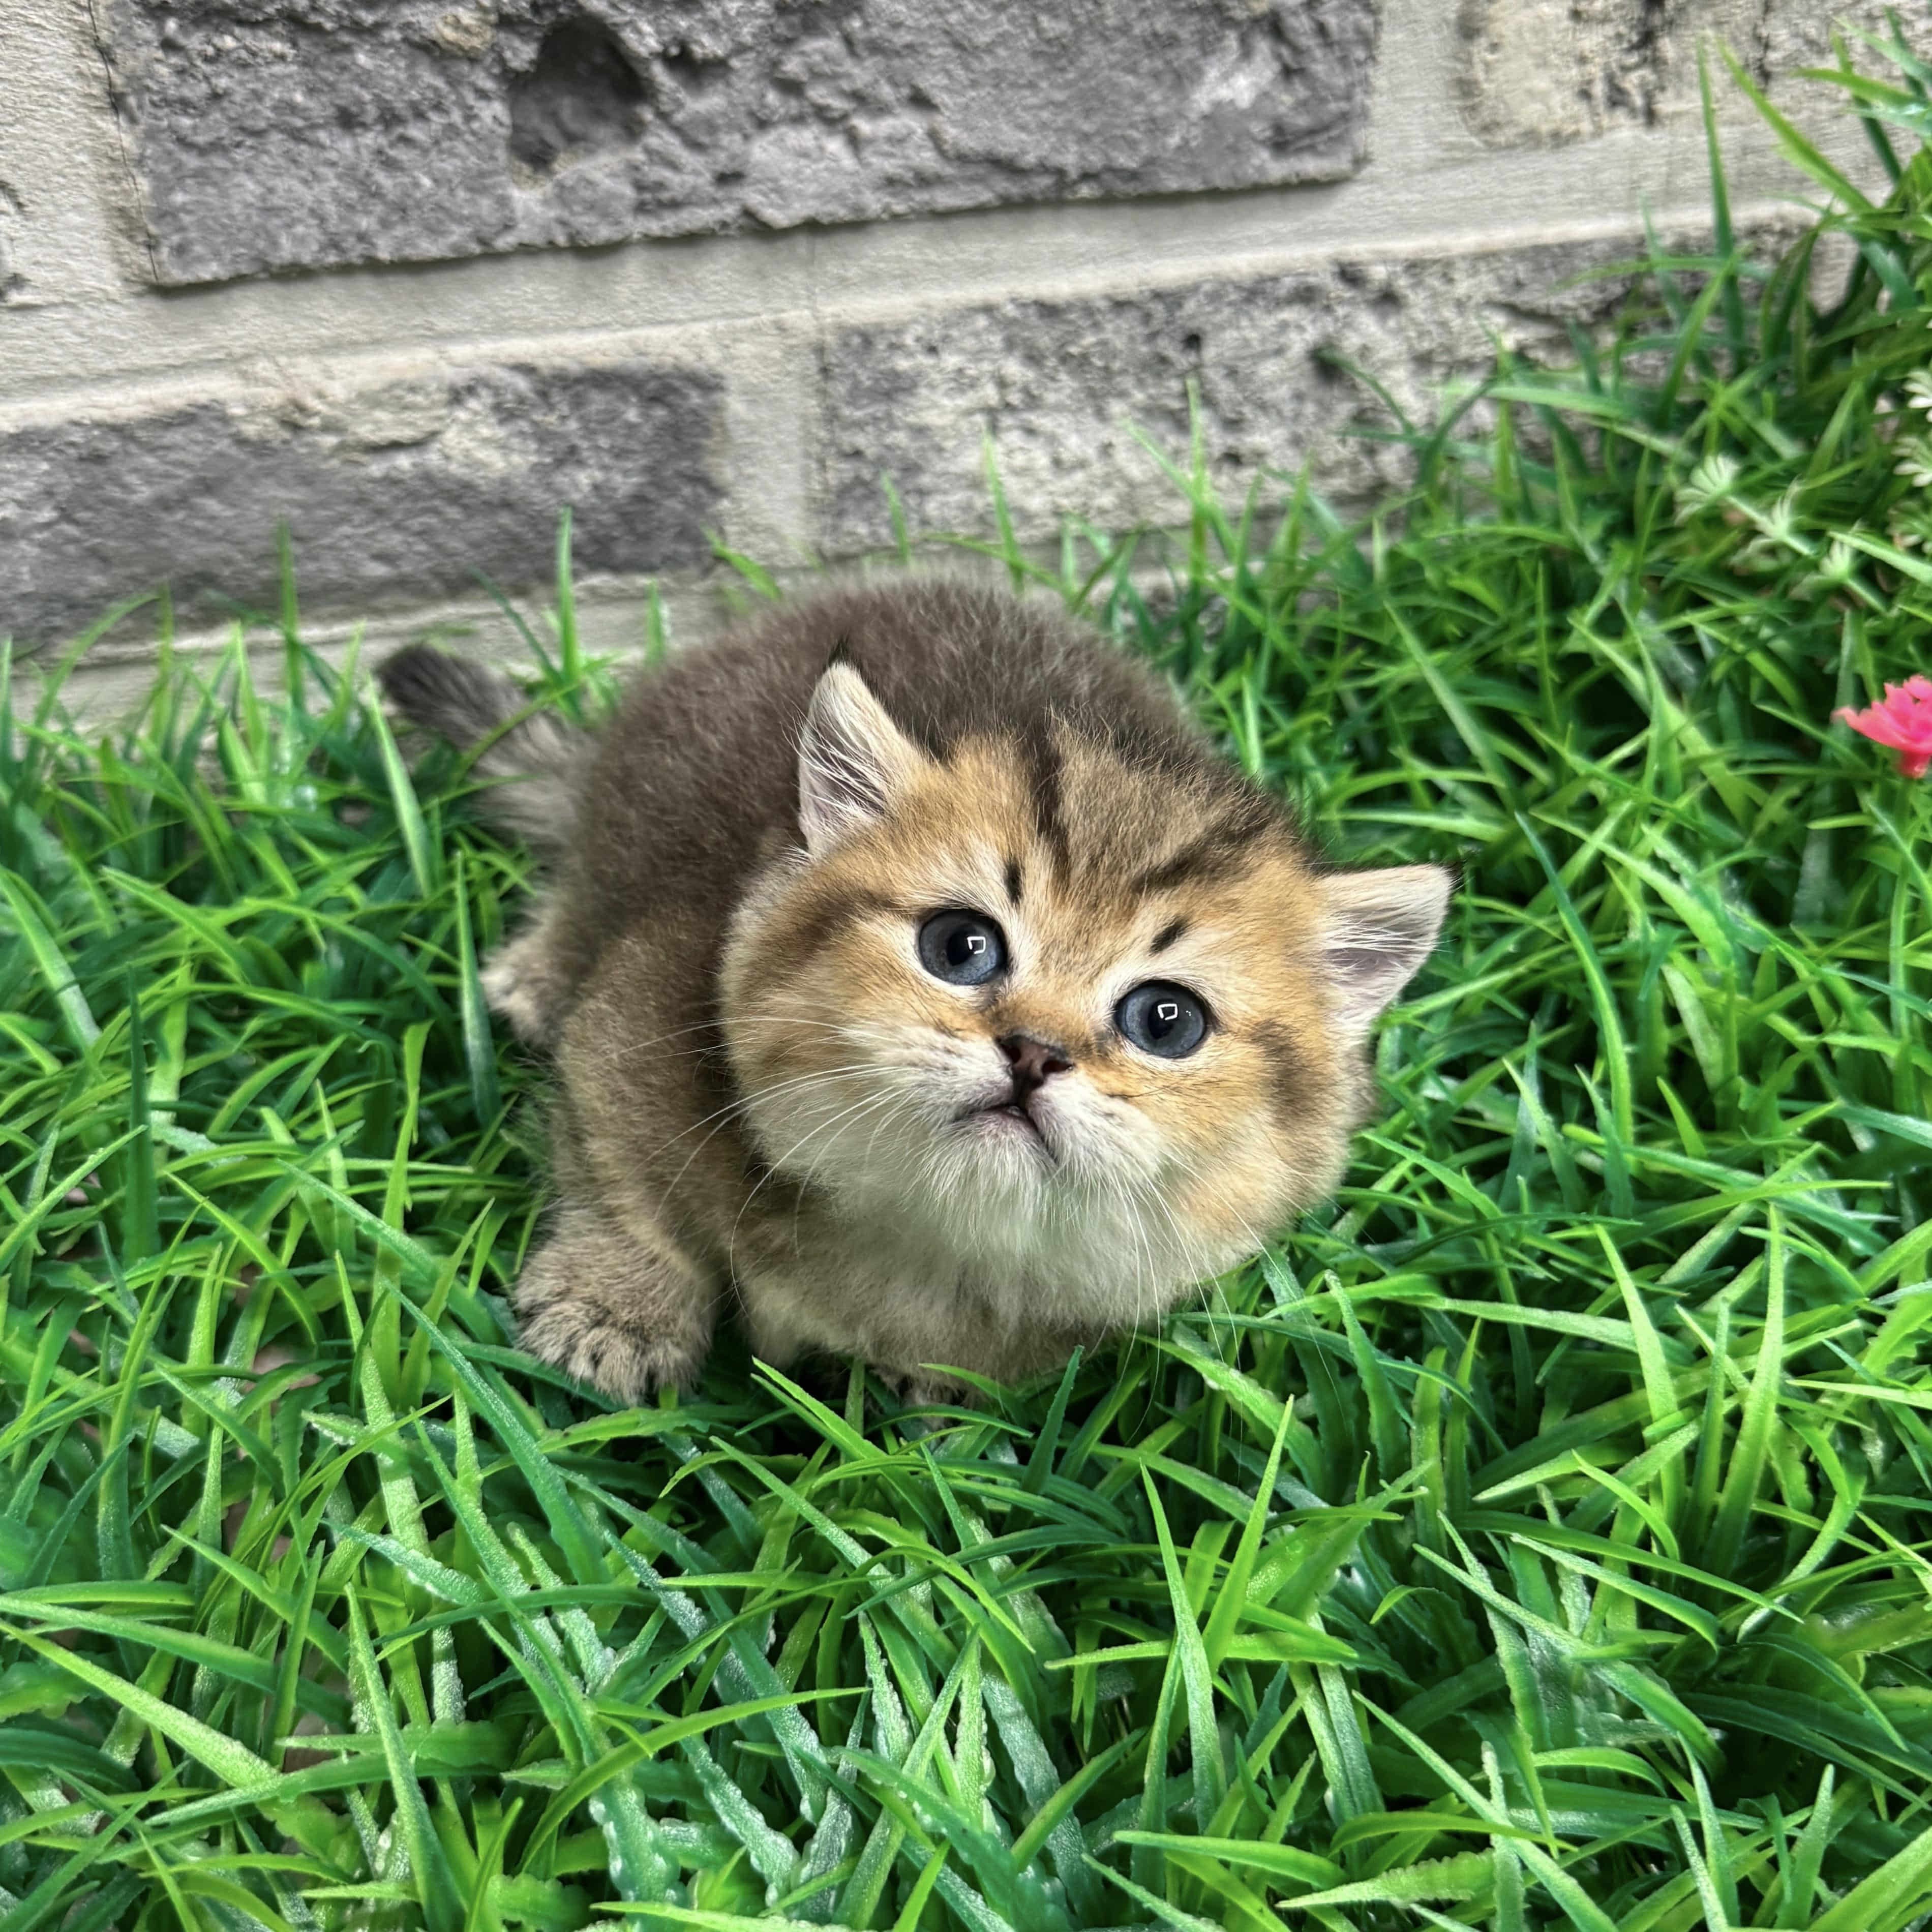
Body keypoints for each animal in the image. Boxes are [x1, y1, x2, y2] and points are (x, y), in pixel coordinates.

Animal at [380, 579, 1450, 1402]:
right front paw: (616, 1305)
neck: (909, 1241)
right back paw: (538, 969)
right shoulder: (633, 1019)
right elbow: (618, 1180)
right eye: (961, 946)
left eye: (1166, 1019)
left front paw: (936, 1386)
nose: (1034, 1052)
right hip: (634, 803)